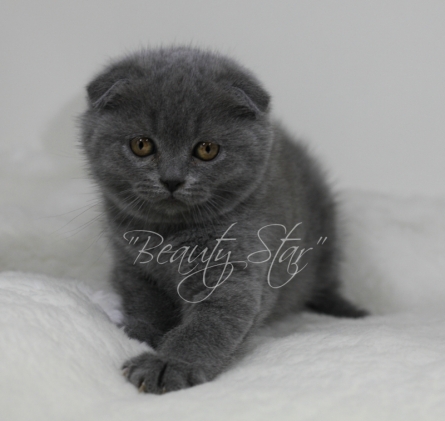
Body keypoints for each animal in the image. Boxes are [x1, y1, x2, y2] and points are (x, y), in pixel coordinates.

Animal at [80, 46, 367, 394]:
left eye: (207, 149)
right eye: (142, 144)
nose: (172, 179)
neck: (168, 233)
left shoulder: (235, 266)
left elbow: (211, 324)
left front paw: (168, 365)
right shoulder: (132, 266)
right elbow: (145, 304)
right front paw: (136, 332)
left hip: (324, 231)